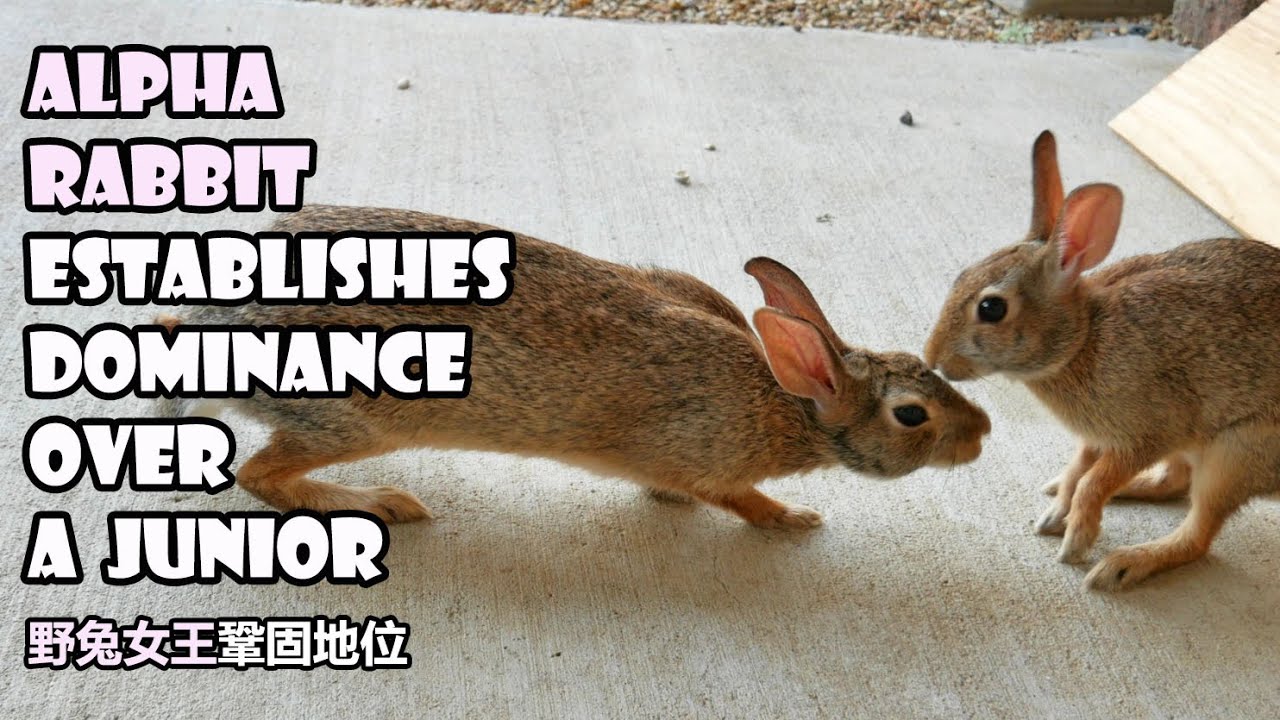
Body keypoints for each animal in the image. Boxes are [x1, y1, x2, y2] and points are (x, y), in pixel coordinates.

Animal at [158, 205, 991, 529]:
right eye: (911, 415)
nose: (981, 434)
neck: (786, 402)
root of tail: (201, 332)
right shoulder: (708, 458)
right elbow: (738, 501)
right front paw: (794, 521)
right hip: (348, 421)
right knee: (261, 477)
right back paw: (384, 503)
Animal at [924, 130, 1280, 590]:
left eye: (991, 309)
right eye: (961, 276)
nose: (932, 357)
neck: (1081, 339)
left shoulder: (1147, 433)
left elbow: (1094, 481)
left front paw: (1076, 541)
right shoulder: (1098, 437)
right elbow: (1079, 468)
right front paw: (1057, 513)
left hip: (1236, 453)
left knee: (1197, 533)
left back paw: (1123, 565)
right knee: (1174, 483)